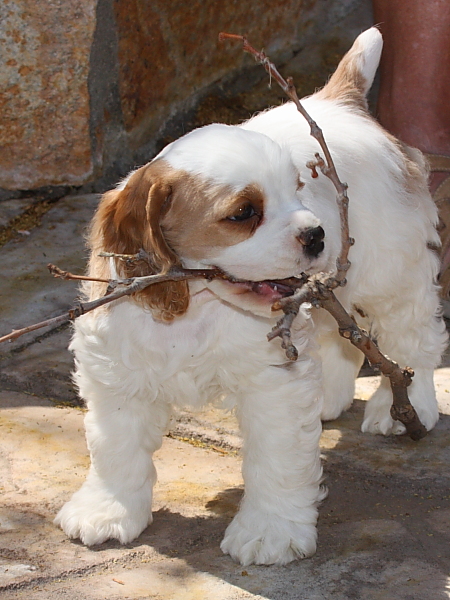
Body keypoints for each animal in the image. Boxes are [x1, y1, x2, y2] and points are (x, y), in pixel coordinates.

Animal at [55, 27, 446, 564]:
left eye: (300, 190)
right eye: (244, 213)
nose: (317, 234)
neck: (196, 303)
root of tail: (339, 100)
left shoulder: (272, 382)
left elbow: (275, 462)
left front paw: (269, 532)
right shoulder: (116, 372)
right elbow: (116, 450)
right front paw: (107, 511)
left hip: (394, 271)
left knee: (411, 339)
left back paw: (402, 407)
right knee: (338, 337)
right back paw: (329, 395)